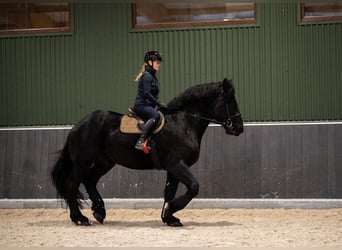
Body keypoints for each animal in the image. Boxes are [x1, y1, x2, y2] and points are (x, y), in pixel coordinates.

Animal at [50, 78, 243, 227]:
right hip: (82, 163)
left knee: (90, 181)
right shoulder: (177, 165)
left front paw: (169, 217)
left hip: (104, 162)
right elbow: (194, 187)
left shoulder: (173, 168)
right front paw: (172, 209)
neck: (183, 123)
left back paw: (99, 212)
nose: (239, 128)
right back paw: (79, 218)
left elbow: (169, 193)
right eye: (230, 102)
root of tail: (79, 125)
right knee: (72, 185)